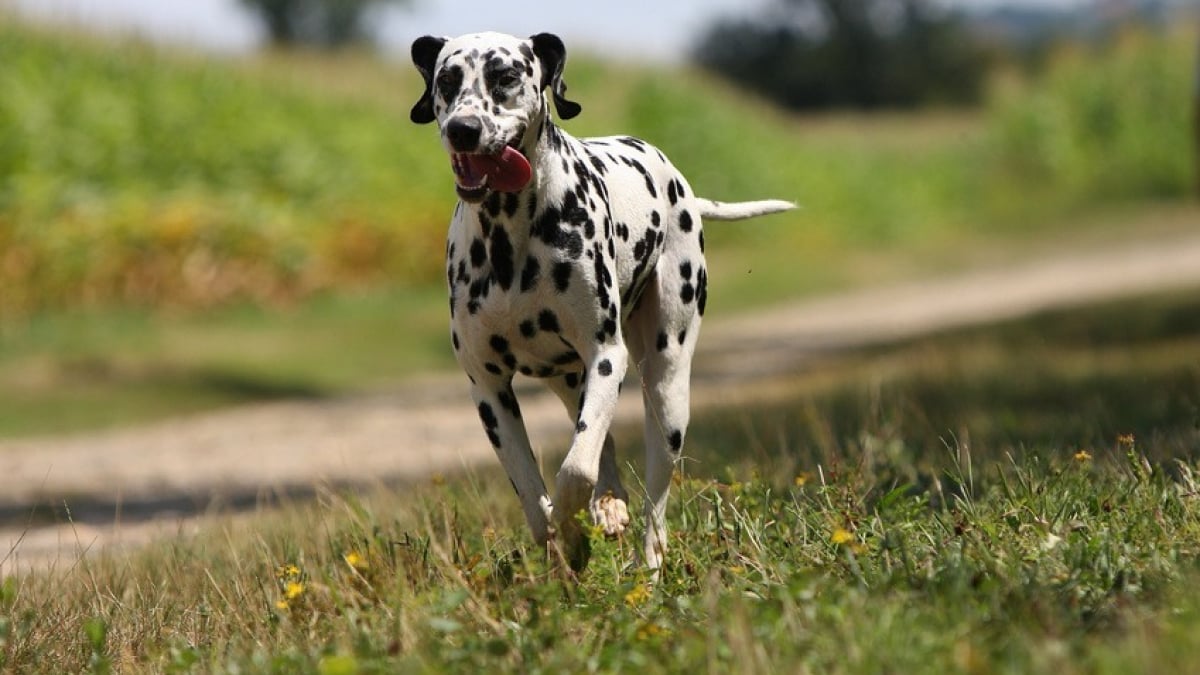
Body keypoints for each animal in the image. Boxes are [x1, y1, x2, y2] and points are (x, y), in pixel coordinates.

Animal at [412, 30, 796, 566]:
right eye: (447, 80)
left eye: (505, 77)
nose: (462, 129)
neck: (510, 237)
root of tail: (680, 183)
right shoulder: (488, 389)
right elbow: (533, 495)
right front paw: (564, 536)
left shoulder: (606, 356)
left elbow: (575, 471)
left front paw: (573, 521)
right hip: (567, 380)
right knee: (601, 440)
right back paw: (609, 503)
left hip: (665, 389)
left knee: (652, 501)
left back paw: (647, 560)